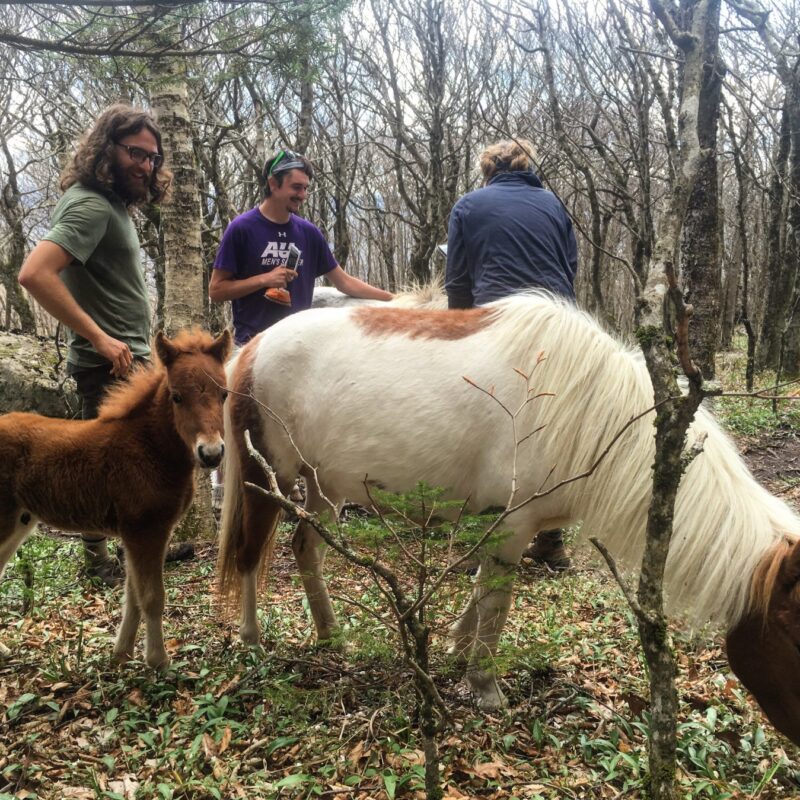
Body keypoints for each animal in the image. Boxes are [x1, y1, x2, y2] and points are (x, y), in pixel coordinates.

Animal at [0, 328, 232, 667]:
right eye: (177, 396)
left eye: (224, 394)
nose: (211, 453)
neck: (147, 447)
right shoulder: (144, 529)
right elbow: (151, 597)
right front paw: (158, 661)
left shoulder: (140, 533)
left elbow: (132, 596)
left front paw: (122, 654)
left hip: (19, 522)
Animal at [215, 293, 800, 745]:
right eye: (793, 637)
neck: (584, 406)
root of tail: (251, 349)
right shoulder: (514, 523)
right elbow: (496, 601)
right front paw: (485, 687)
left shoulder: (503, 523)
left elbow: (480, 590)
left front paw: (456, 648)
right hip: (266, 480)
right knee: (250, 554)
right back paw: (251, 642)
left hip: (323, 489)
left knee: (305, 548)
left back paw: (331, 635)